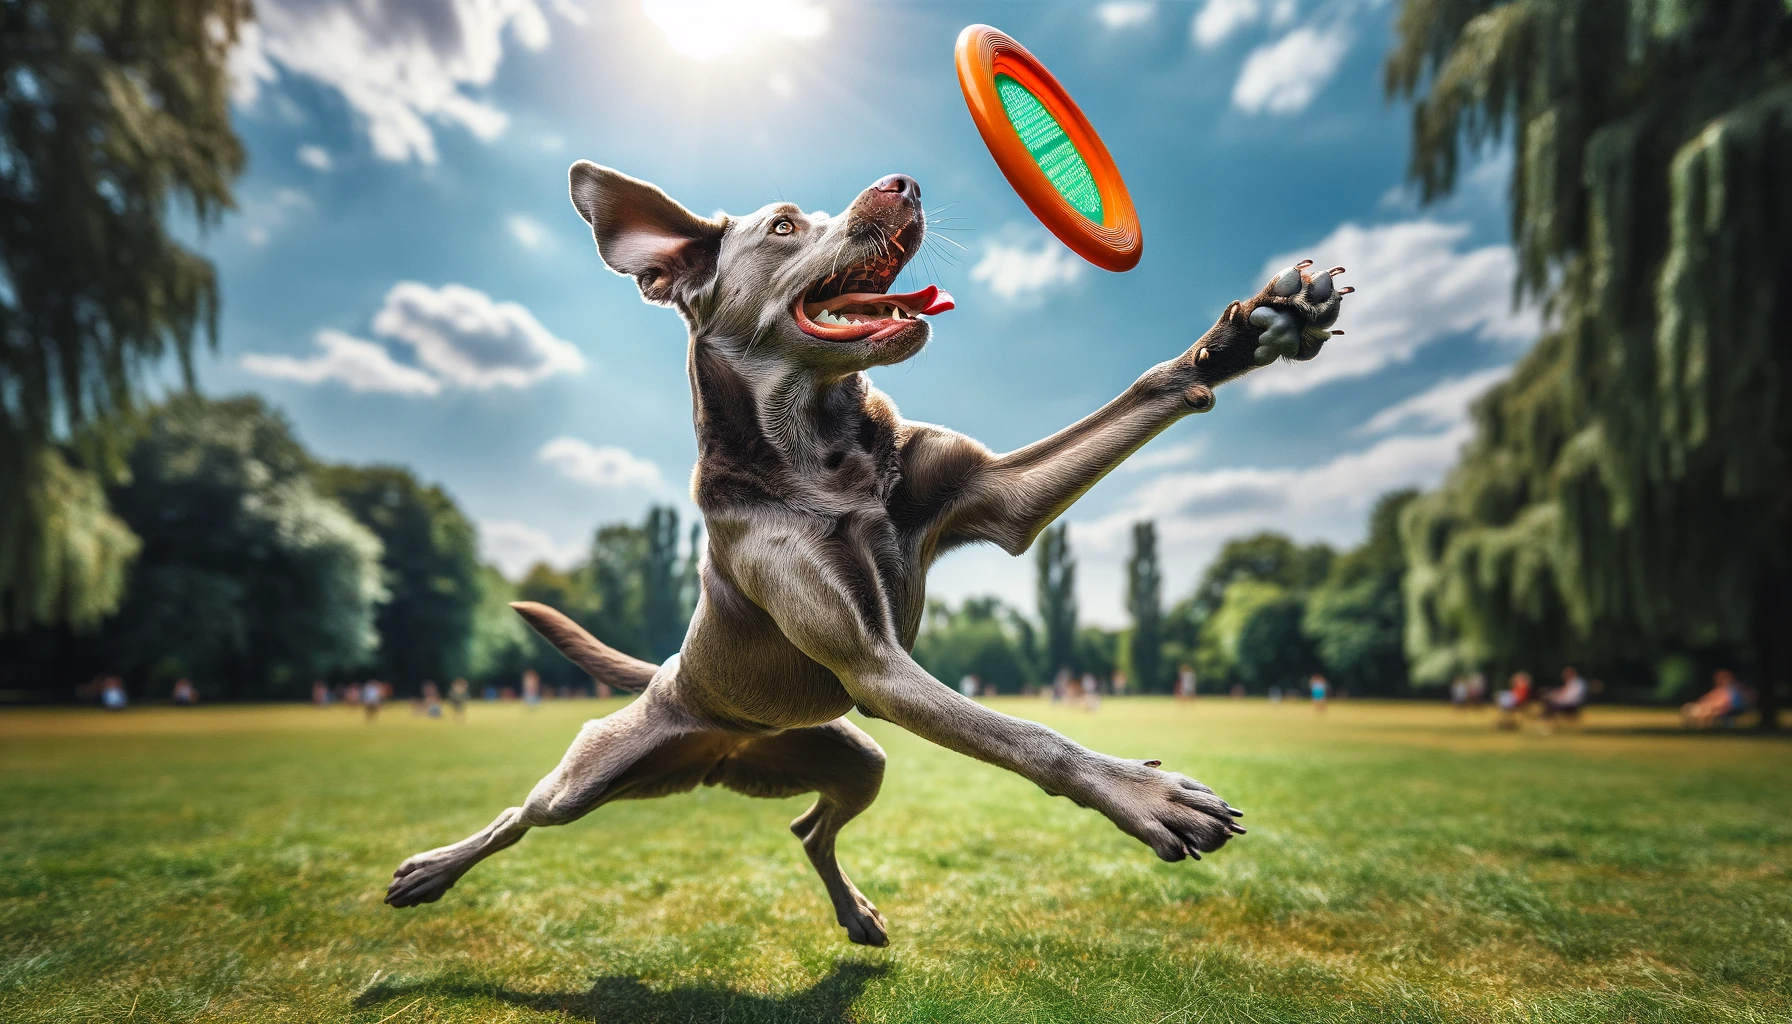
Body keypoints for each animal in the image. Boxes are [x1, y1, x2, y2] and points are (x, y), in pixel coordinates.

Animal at [388, 162, 1347, 946]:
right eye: (784, 225)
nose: (904, 181)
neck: (823, 445)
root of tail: (683, 696)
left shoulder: (998, 497)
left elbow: (1145, 390)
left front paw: (1250, 335)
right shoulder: (874, 663)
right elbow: (1031, 734)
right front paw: (1151, 797)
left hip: (850, 758)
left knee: (808, 828)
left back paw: (855, 914)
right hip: (600, 770)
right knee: (522, 813)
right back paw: (430, 870)